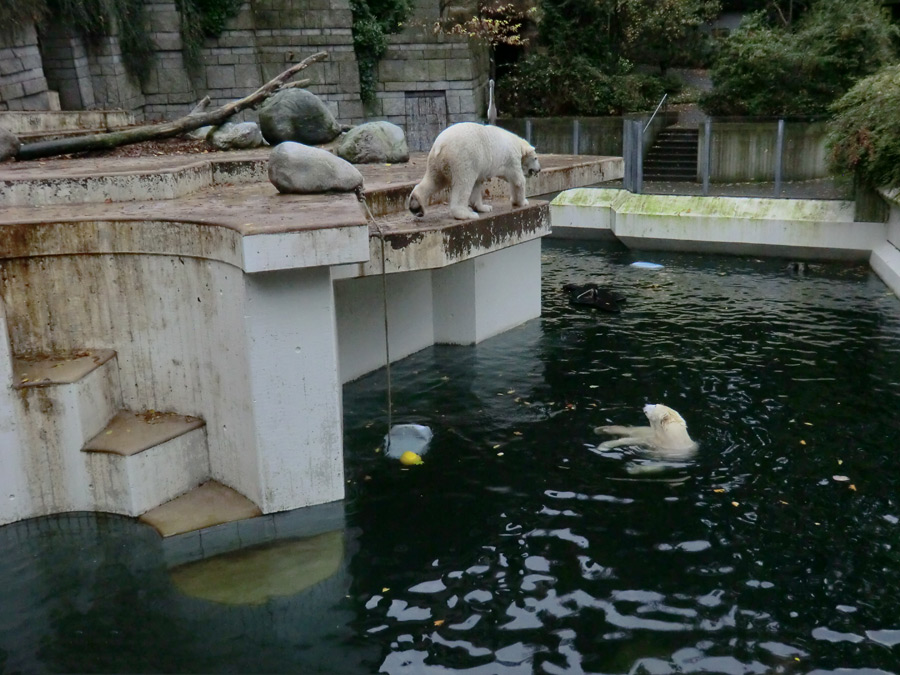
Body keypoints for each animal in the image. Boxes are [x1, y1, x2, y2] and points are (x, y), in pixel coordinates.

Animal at [408, 124, 540, 222]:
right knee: (463, 184)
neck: (518, 143)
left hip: (436, 162)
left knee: (435, 180)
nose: (539, 169)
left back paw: (416, 206)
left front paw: (485, 207)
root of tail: (440, 145)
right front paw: (522, 202)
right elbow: (517, 180)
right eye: (536, 158)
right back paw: (466, 214)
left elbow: (477, 185)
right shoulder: (512, 158)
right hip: (463, 159)